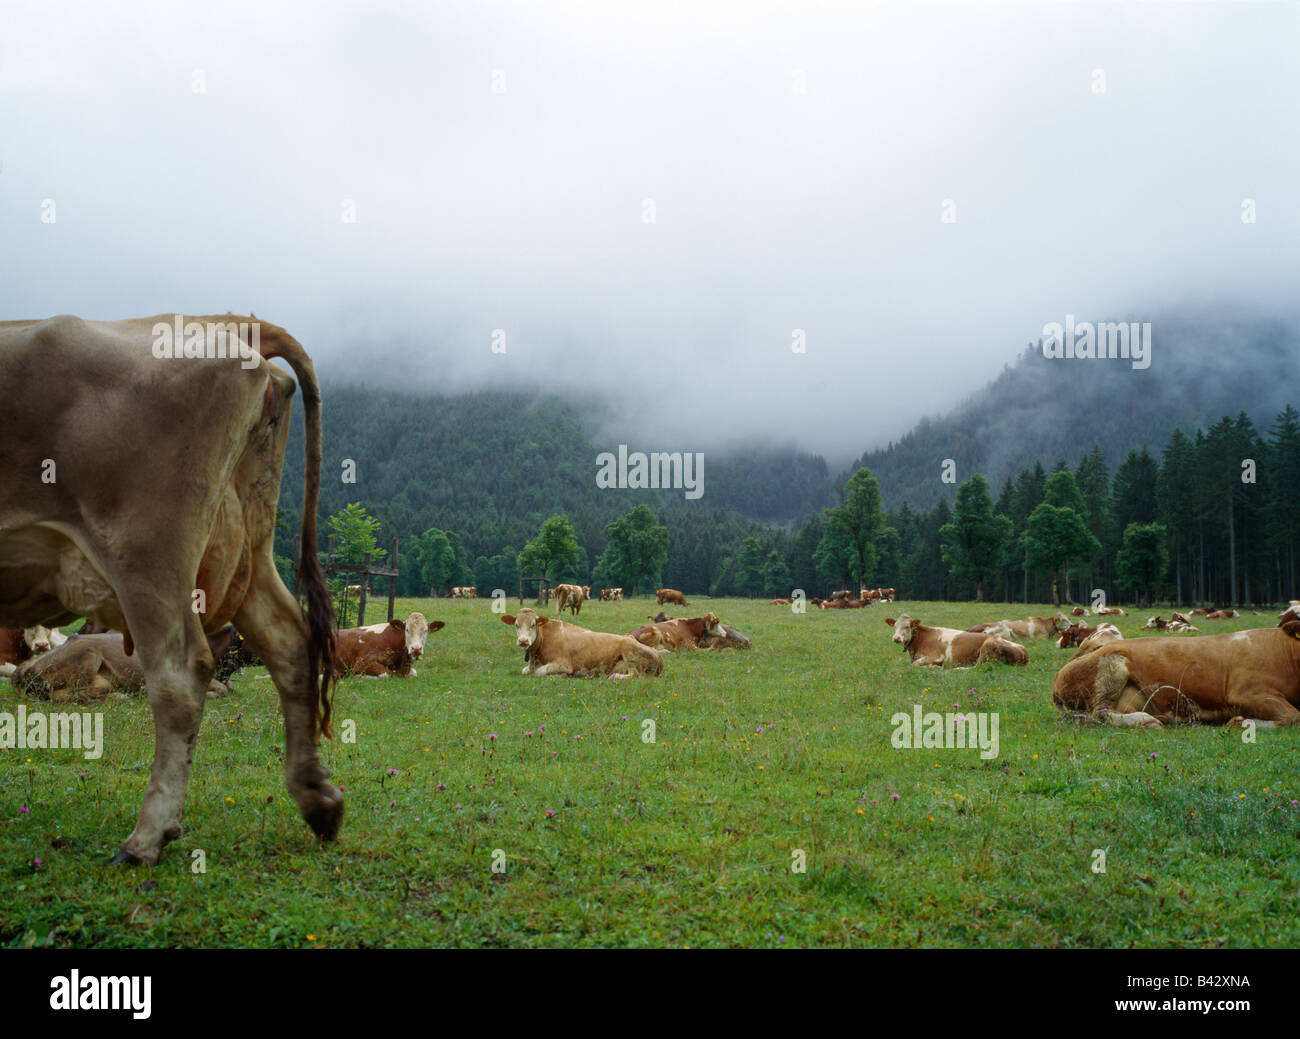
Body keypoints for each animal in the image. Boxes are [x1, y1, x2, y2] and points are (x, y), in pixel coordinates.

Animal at [496, 608, 660, 681]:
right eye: (516, 625)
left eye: (533, 624)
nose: (523, 641)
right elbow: (525, 671)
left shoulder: (563, 664)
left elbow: (539, 672)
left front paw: (561, 675)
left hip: (629, 651)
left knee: (634, 674)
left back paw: (614, 676)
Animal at [883, 613, 1024, 670]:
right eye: (894, 626)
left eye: (907, 626)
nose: (896, 638)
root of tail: (1024, 651)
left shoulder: (936, 656)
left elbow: (914, 665)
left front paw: (934, 666)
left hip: (987, 646)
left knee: (975, 668)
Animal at [1050, 621, 1300, 728]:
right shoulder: (1247, 693)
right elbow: (1293, 717)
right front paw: (1240, 722)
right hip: (1111, 667)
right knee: (1101, 714)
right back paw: (1148, 721)